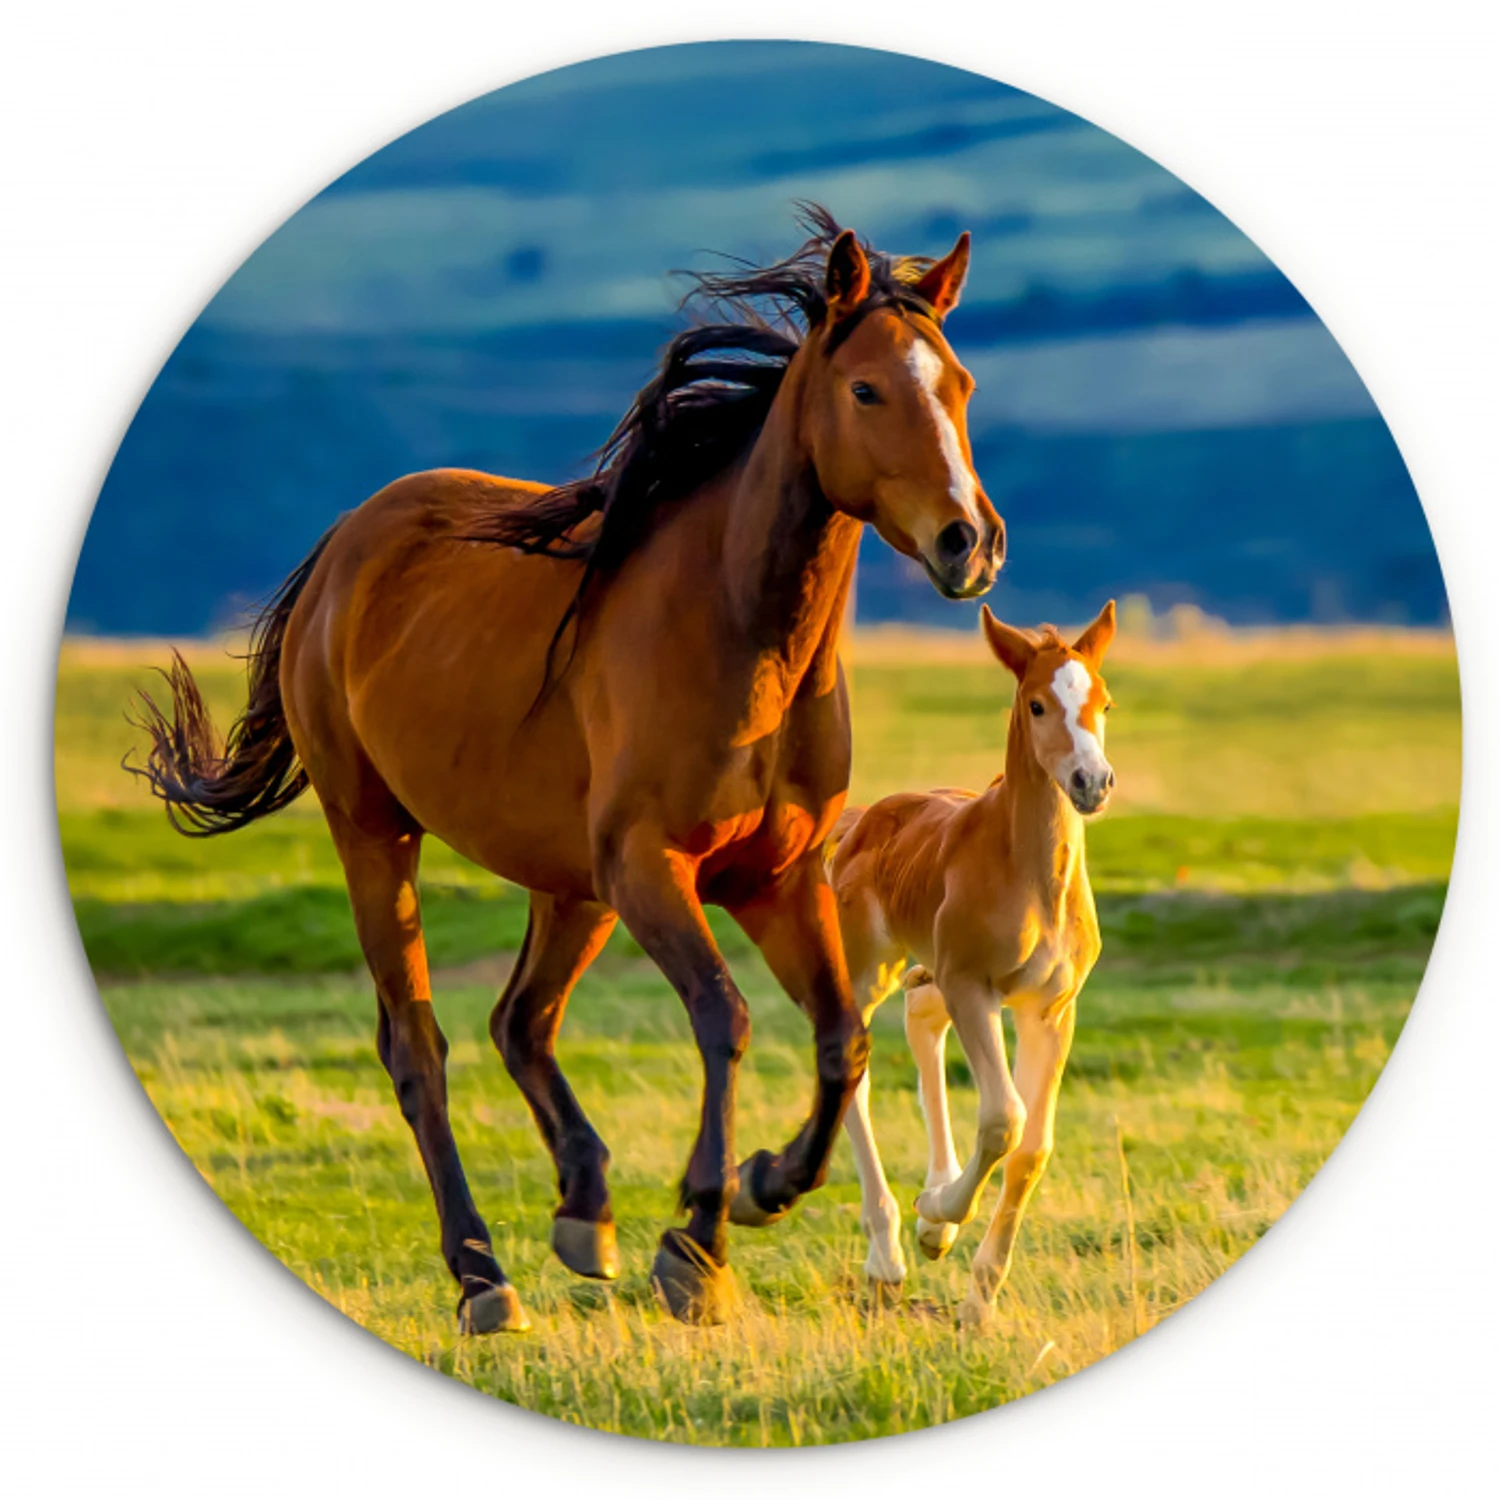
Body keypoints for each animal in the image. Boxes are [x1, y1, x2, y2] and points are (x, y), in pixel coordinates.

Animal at [128, 208, 1005, 1331]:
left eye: (962, 385)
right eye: (865, 390)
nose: (969, 542)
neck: (740, 637)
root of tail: (344, 547)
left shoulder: (775, 878)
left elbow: (840, 1040)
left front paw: (761, 1185)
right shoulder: (652, 869)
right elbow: (724, 1019)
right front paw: (697, 1243)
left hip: (570, 884)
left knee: (521, 1021)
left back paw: (585, 1211)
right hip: (380, 834)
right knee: (419, 1047)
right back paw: (482, 1275)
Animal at [828, 601, 1116, 1326]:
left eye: (1104, 702)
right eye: (1037, 704)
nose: (1092, 783)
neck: (1032, 876)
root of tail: (862, 819)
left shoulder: (1050, 1009)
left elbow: (1033, 1146)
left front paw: (978, 1298)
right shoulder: (972, 986)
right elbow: (1003, 1118)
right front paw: (937, 1213)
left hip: (930, 973)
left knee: (921, 1022)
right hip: (870, 969)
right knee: (854, 1065)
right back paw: (890, 1254)